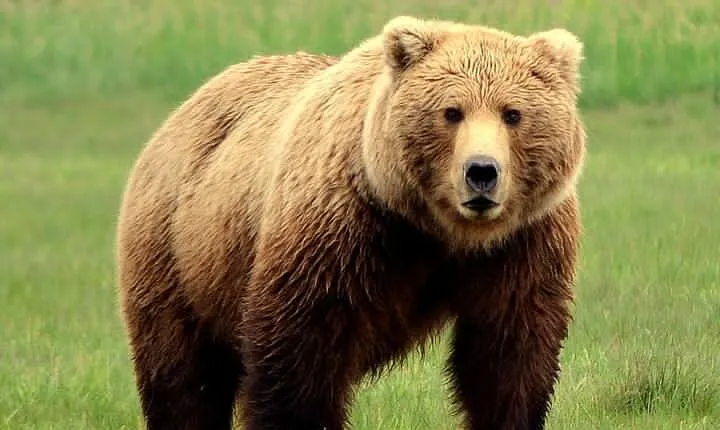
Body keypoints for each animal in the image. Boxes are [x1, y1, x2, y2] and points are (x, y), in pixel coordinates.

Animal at [115, 15, 586, 430]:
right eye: (452, 111)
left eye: (513, 113)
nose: (482, 172)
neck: (439, 231)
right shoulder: (343, 231)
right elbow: (299, 355)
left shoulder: (522, 243)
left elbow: (508, 354)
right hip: (179, 252)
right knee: (184, 375)